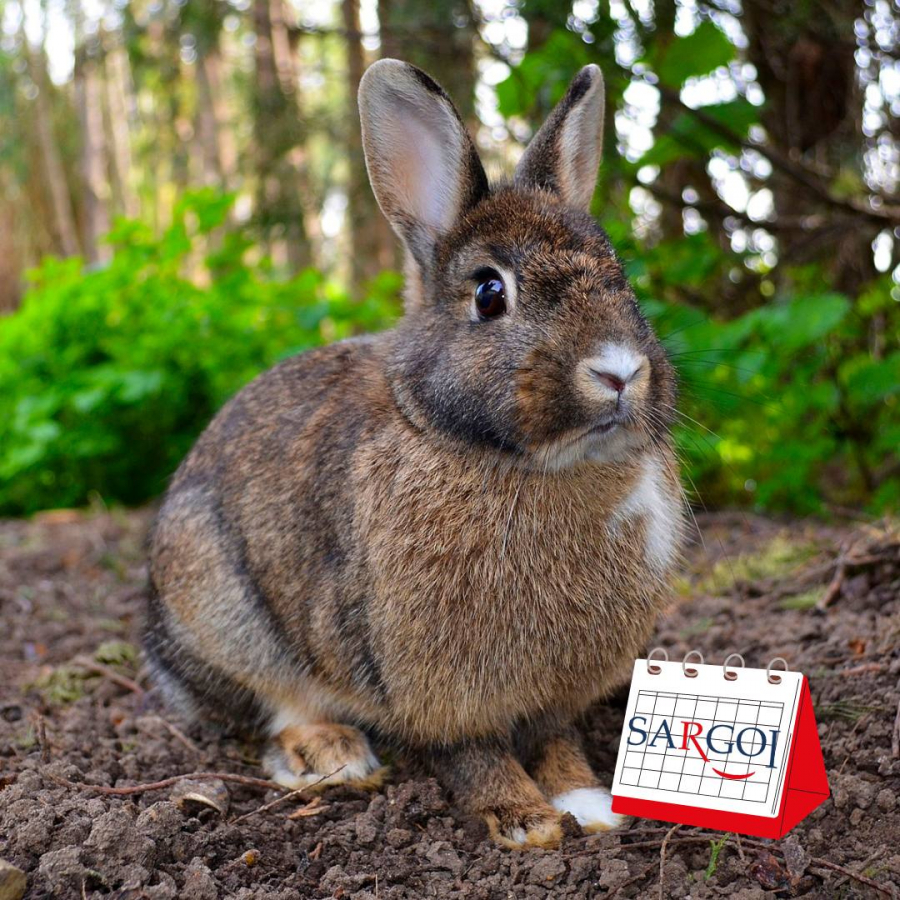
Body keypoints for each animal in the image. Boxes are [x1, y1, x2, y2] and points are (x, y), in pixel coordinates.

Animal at [146, 59, 684, 848]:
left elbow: (554, 740)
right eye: (489, 293)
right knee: (271, 706)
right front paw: (524, 820)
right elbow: (472, 751)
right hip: (220, 607)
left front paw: (587, 802)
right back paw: (331, 754)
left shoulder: (556, 695)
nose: (618, 370)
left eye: (622, 278)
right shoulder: (430, 684)